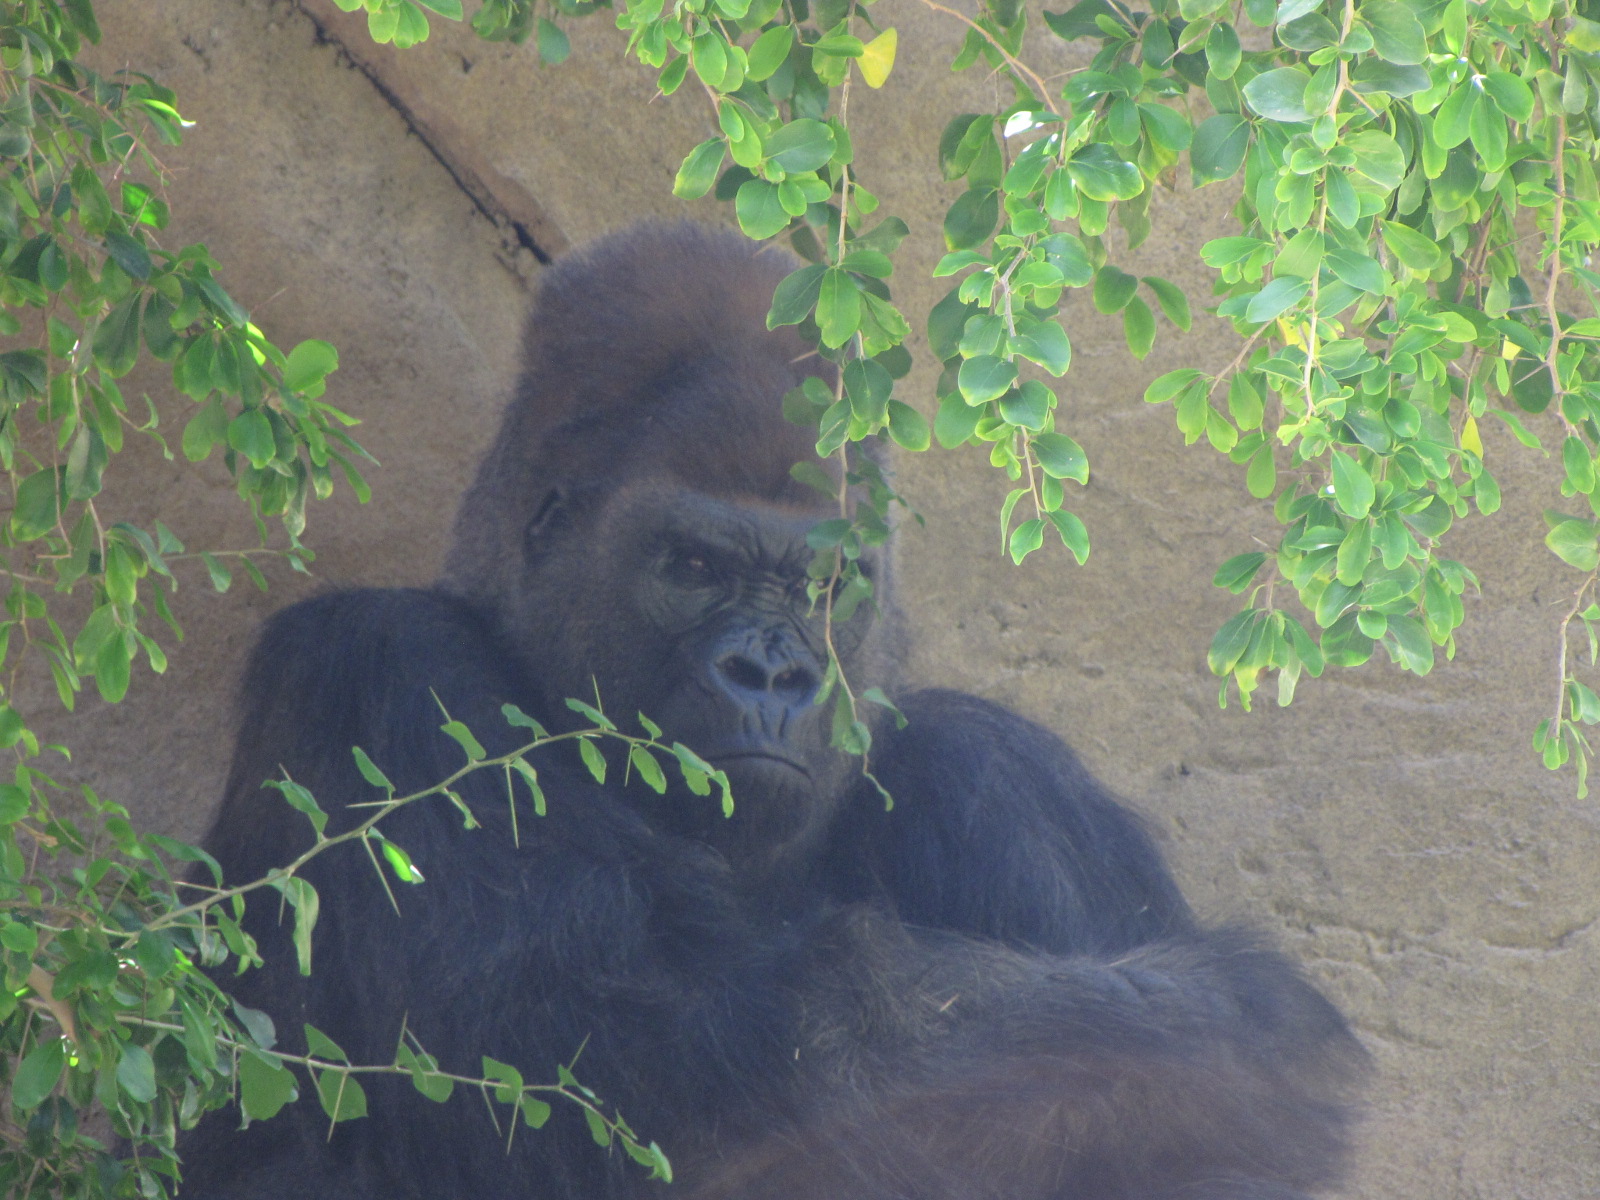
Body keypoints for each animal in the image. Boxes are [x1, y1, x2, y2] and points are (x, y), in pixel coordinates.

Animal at [181, 220, 1369, 1196]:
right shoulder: (381, 675)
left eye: (821, 588)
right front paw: (1235, 1027)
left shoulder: (999, 779)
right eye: (694, 566)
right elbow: (646, 1085)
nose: (774, 677)